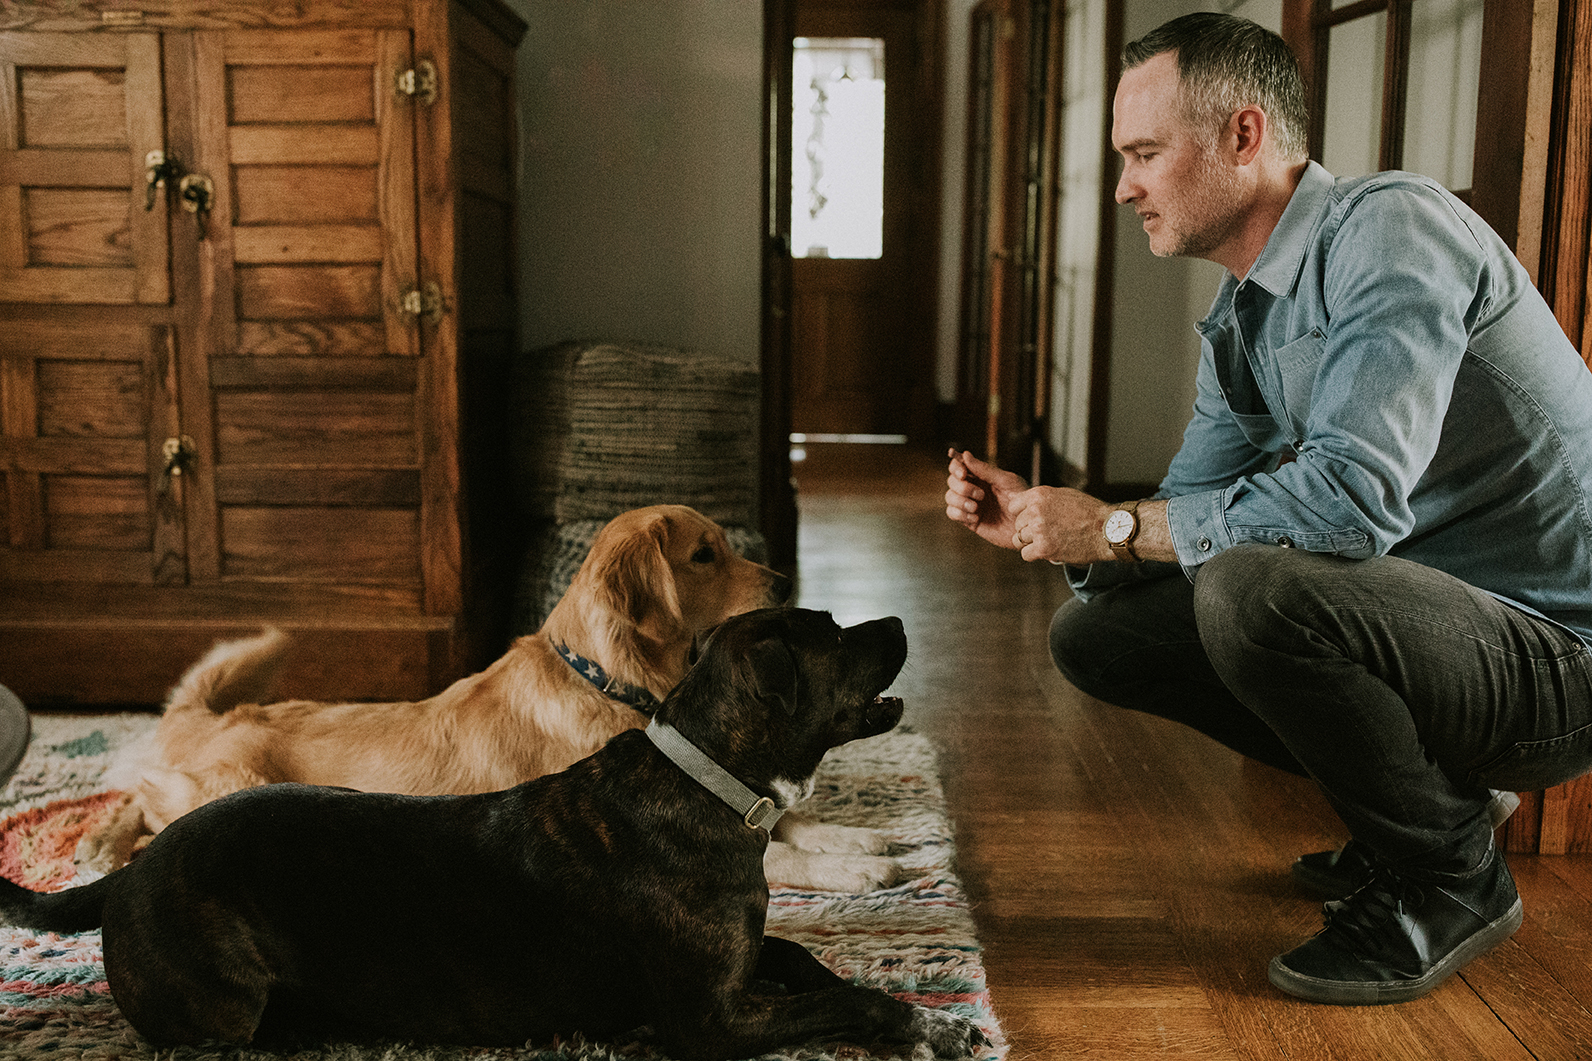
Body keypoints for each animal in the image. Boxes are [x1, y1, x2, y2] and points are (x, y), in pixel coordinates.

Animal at [0, 608, 980, 1051]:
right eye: (833, 634)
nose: (896, 619)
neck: (705, 779)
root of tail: (128, 878)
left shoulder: (746, 960)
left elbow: (810, 959)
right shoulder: (710, 1018)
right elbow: (838, 998)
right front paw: (918, 1023)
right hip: (227, 1000)